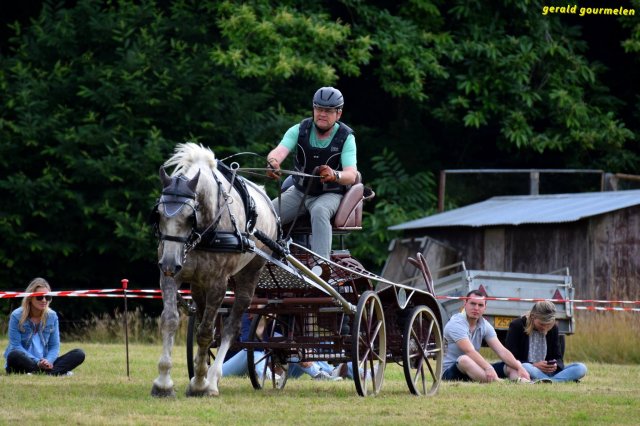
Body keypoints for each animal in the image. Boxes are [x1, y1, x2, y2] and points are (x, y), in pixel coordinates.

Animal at [151, 142, 279, 397]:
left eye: (190, 216)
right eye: (158, 215)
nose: (169, 262)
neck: (205, 232)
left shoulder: (218, 283)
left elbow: (205, 332)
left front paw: (200, 384)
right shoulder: (171, 277)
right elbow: (170, 320)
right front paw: (163, 382)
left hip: (249, 276)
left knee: (231, 326)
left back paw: (211, 380)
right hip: (198, 284)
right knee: (203, 318)